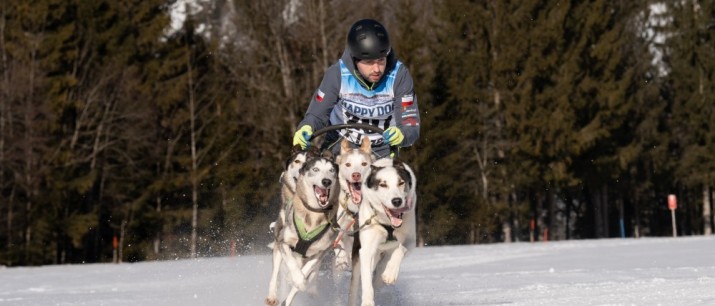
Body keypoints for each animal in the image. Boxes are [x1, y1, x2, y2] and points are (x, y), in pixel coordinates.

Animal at [268, 150, 340, 306]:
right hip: (278, 247)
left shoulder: (320, 252)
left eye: (331, 170)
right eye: (315, 169)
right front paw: (296, 278)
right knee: (275, 273)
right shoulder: (284, 243)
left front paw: (300, 281)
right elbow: (291, 264)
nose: (326, 181)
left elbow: (307, 271)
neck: (313, 215)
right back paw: (272, 295)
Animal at [350, 158, 416, 306]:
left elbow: (400, 249)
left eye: (401, 182)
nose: (397, 201)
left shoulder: (410, 240)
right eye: (383, 185)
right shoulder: (366, 250)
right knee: (356, 285)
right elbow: (366, 282)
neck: (388, 223)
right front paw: (368, 302)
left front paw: (390, 274)